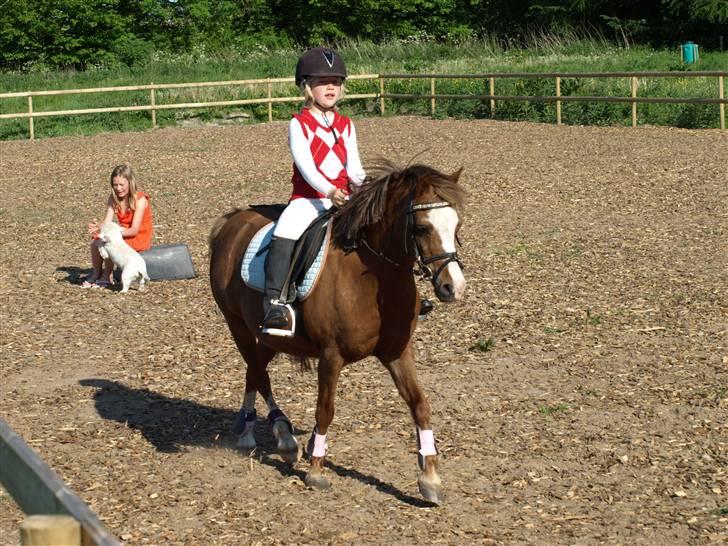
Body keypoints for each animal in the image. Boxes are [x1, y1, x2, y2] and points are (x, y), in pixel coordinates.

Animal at [206, 160, 466, 502]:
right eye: (422, 228)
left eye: (456, 225)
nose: (454, 287)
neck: (373, 277)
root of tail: (231, 221)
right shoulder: (331, 356)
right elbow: (324, 410)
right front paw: (316, 469)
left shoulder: (398, 352)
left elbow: (420, 404)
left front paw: (430, 477)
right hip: (238, 326)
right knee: (259, 375)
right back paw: (284, 437)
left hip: (263, 336)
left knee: (254, 371)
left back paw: (250, 432)